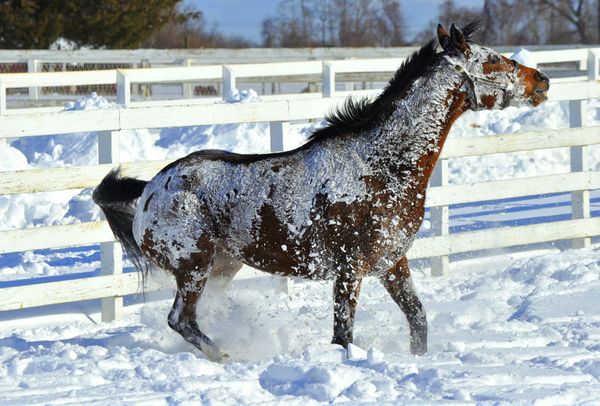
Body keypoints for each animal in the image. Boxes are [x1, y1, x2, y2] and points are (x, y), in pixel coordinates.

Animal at [92, 23, 548, 362]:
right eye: (493, 59)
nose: (541, 80)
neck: (379, 167)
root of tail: (151, 189)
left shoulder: (392, 263)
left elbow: (418, 320)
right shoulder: (349, 271)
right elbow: (343, 335)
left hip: (221, 267)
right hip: (194, 268)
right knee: (180, 319)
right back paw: (226, 356)